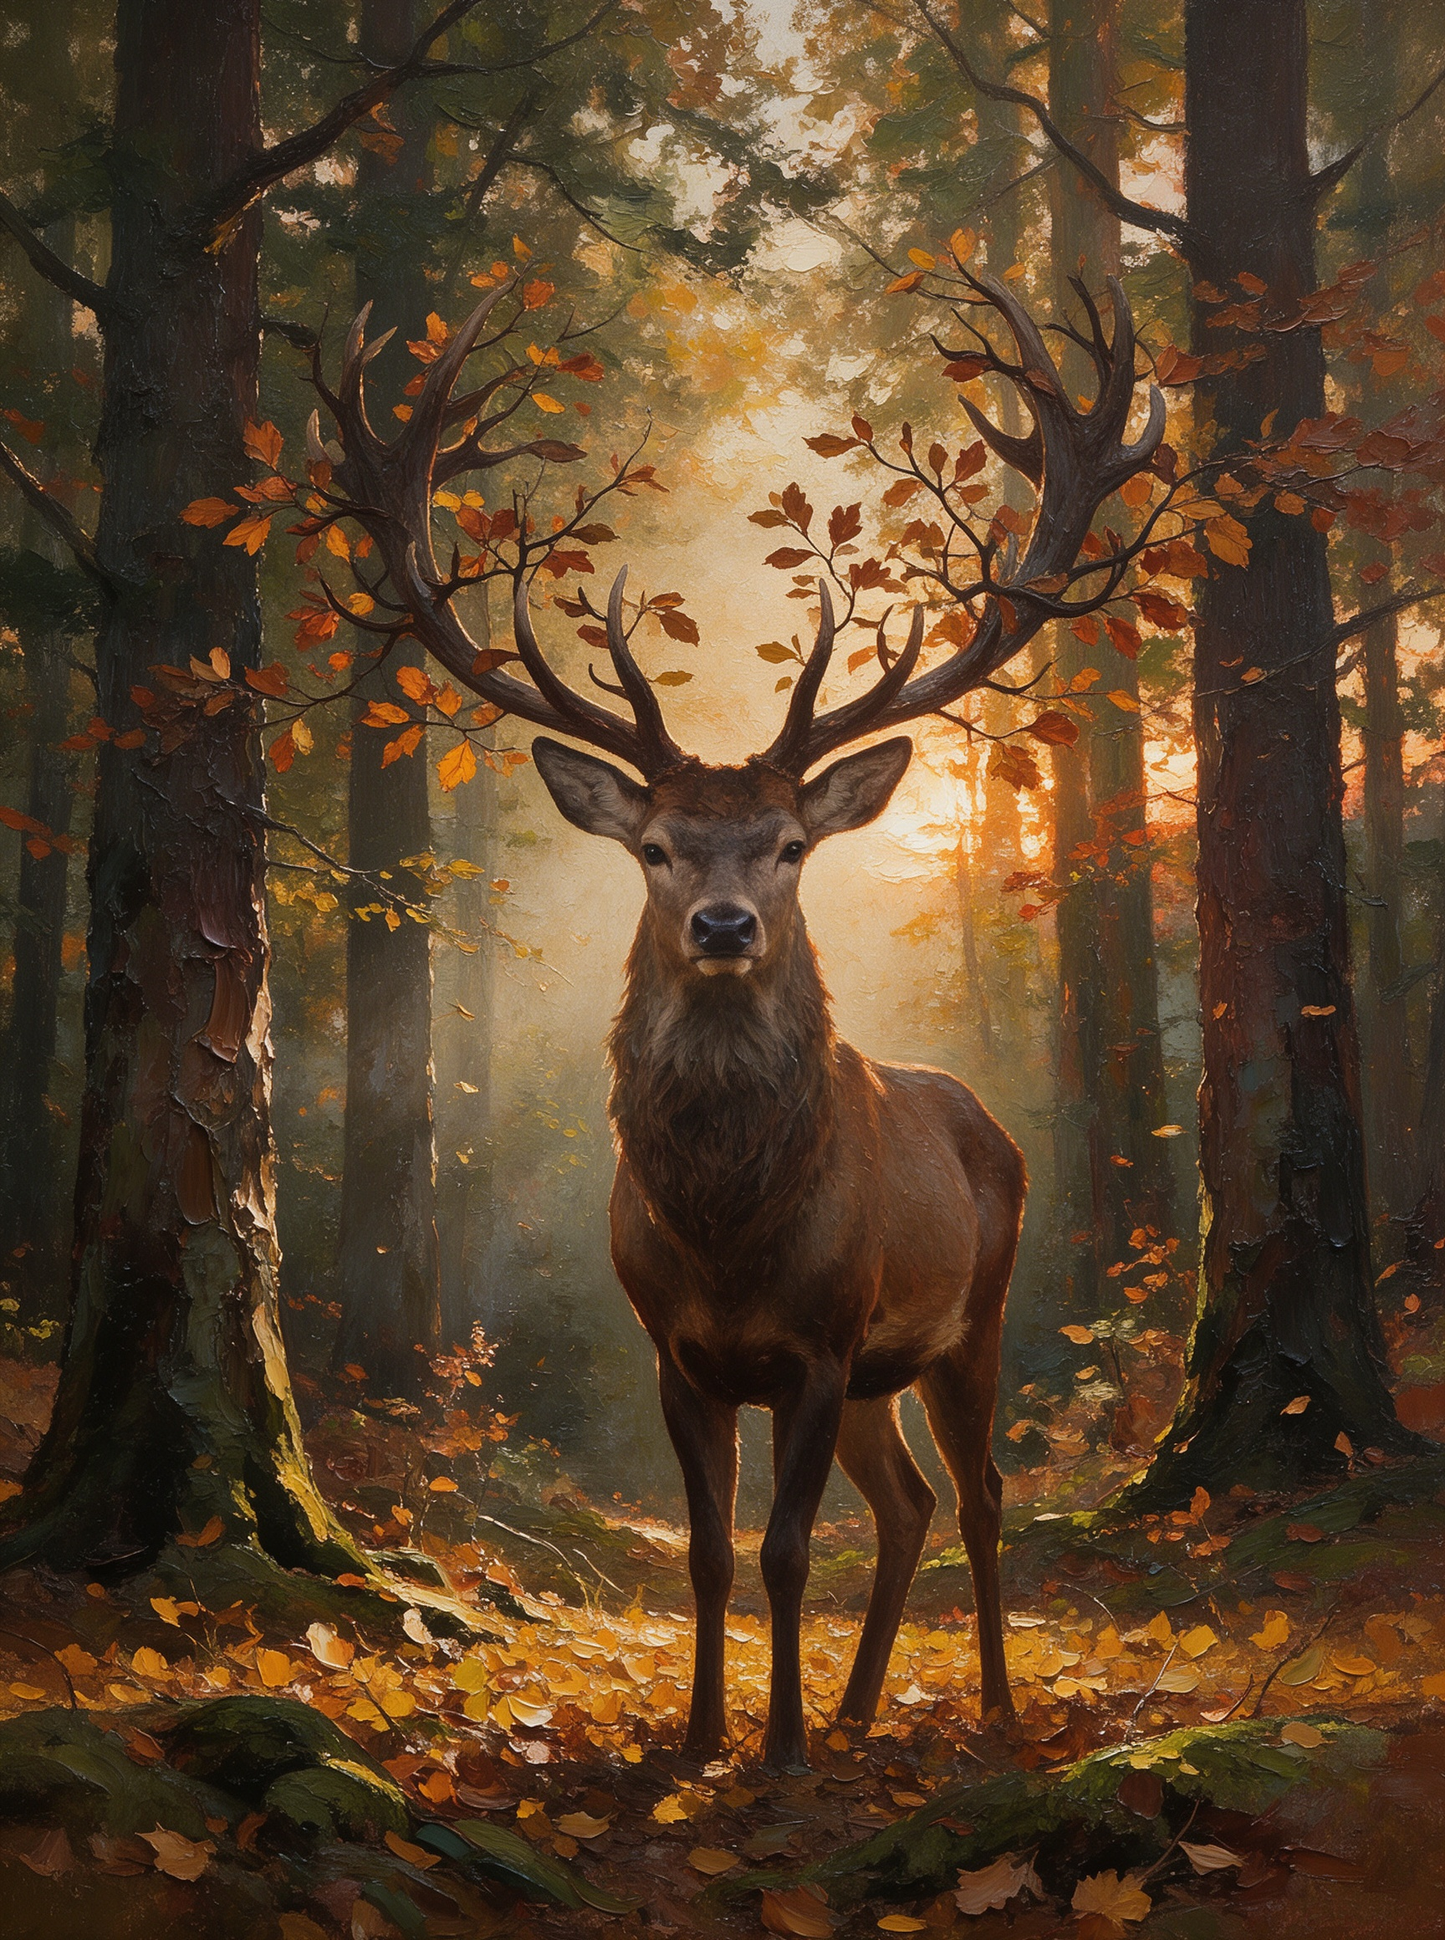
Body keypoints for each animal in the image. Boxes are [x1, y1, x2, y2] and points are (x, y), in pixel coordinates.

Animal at [307, 261, 1165, 1769]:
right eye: (655, 847)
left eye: (786, 843)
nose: (721, 926)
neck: (728, 1229)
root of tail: (979, 1113)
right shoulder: (681, 1352)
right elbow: (711, 1552)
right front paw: (706, 1733)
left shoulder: (824, 1338)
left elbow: (781, 1550)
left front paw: (777, 1746)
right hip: (886, 1373)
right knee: (908, 1503)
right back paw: (868, 1705)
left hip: (968, 1317)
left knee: (980, 1493)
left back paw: (991, 1704)